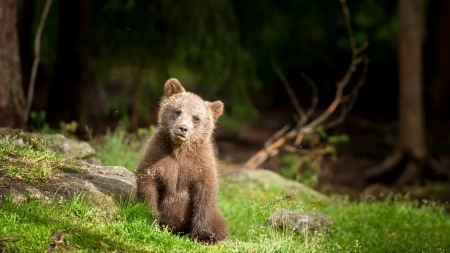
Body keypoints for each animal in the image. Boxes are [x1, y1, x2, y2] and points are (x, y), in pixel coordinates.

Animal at [135, 78, 229, 244]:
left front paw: (203, 236)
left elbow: (205, 194)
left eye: (196, 118)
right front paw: (151, 222)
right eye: (178, 111)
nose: (183, 128)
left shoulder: (200, 164)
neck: (179, 150)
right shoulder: (156, 156)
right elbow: (148, 186)